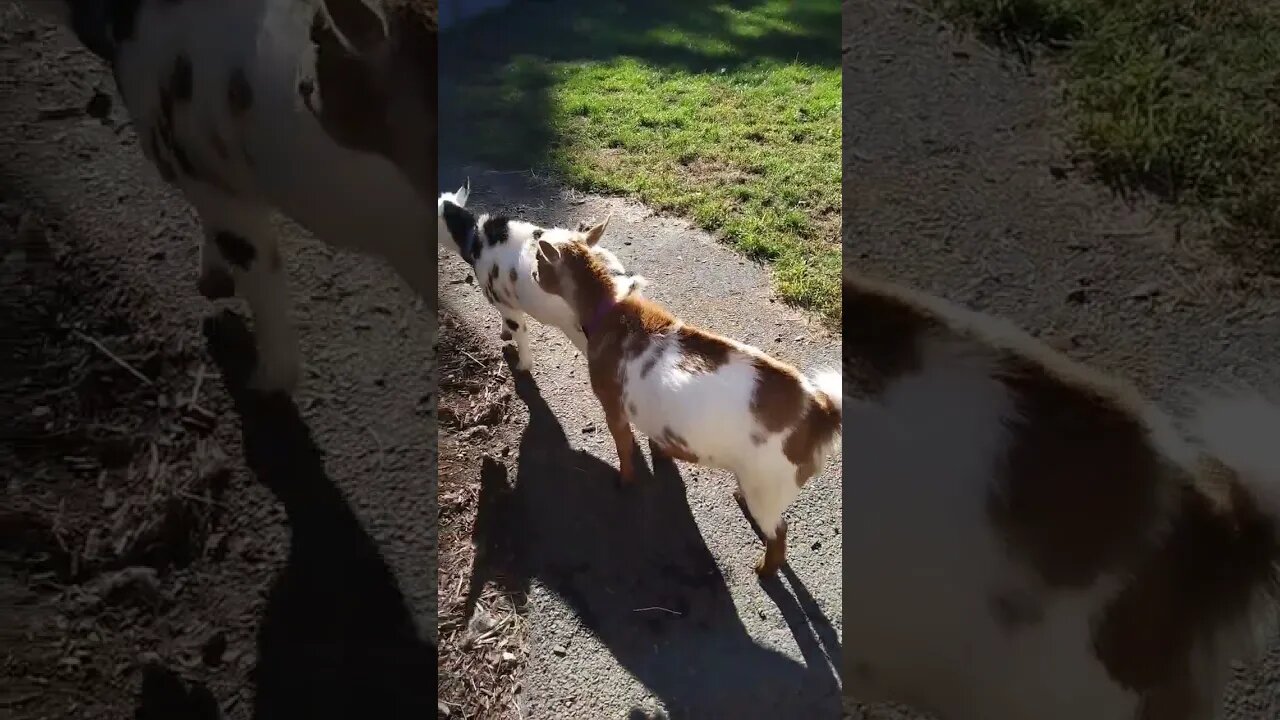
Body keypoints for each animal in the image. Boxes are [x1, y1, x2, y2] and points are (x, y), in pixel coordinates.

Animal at [527, 238, 839, 573]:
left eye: (540, 259)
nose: (531, 273)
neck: (611, 309)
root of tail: (819, 413)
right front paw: (661, 454)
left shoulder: (613, 405)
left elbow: (623, 446)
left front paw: (625, 480)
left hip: (769, 485)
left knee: (778, 533)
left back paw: (764, 568)